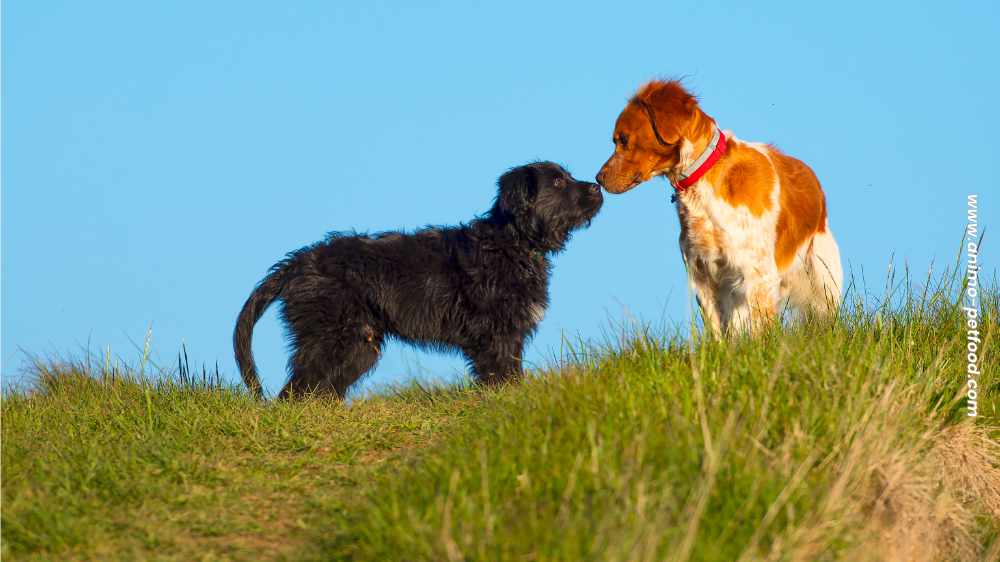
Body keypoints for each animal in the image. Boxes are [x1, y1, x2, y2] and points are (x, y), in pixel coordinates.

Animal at [234, 162, 600, 398]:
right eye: (557, 182)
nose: (596, 186)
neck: (513, 242)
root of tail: (301, 261)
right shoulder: (495, 334)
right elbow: (501, 374)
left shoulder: (509, 334)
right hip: (332, 336)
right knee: (297, 388)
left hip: (359, 343)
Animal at [596, 79, 840, 332]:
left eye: (623, 139)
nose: (598, 178)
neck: (702, 185)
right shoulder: (704, 275)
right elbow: (718, 331)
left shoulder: (758, 274)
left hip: (823, 277)